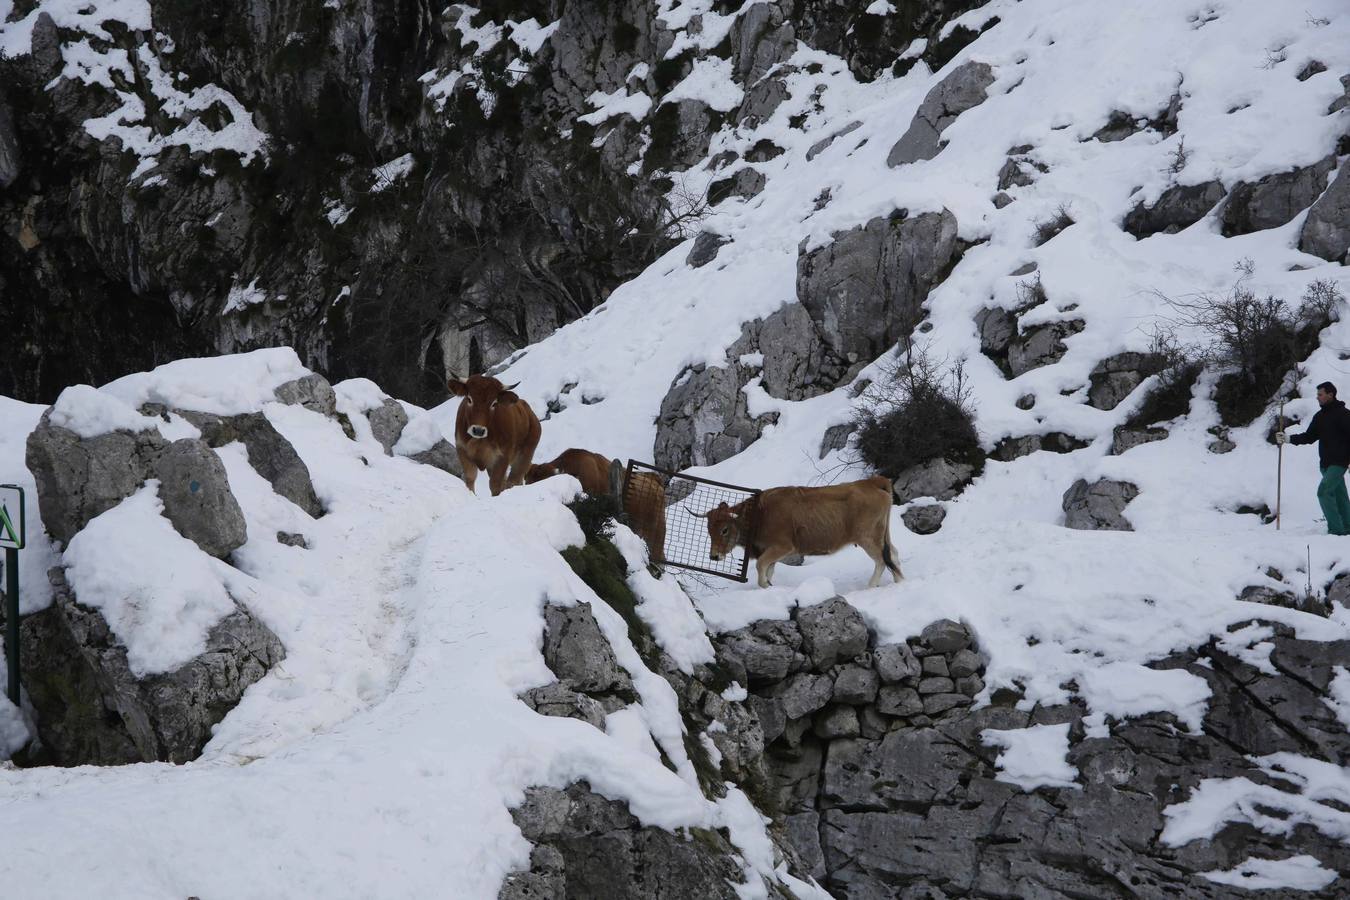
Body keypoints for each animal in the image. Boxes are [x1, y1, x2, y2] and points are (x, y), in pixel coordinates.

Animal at [691, 474, 901, 593]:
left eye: (724, 529)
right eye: (708, 530)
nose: (714, 556)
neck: (761, 513)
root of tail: (871, 482)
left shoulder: (783, 546)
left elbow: (761, 566)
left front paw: (766, 586)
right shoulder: (771, 551)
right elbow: (768, 569)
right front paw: (769, 584)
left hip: (868, 538)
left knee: (882, 560)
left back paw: (871, 586)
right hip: (882, 536)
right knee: (893, 555)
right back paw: (899, 582)